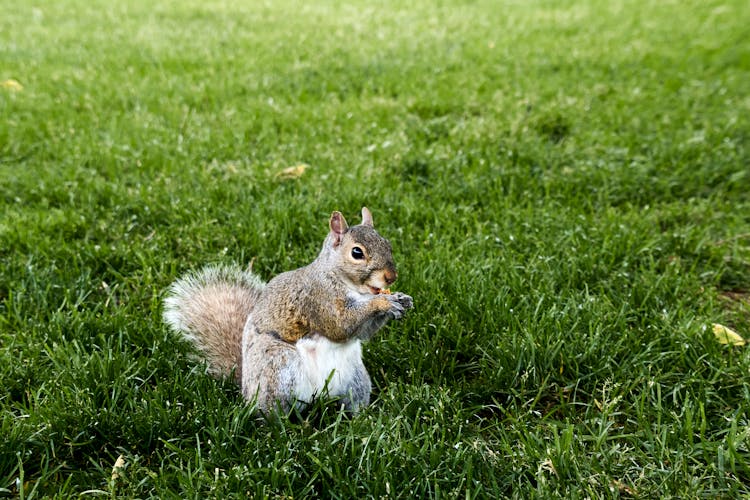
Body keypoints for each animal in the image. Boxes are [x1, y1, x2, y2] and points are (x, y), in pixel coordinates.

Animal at [162, 207, 418, 414]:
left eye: (388, 244)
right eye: (357, 253)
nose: (391, 277)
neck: (350, 286)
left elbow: (362, 332)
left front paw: (401, 299)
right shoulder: (317, 299)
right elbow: (340, 325)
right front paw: (384, 303)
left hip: (355, 380)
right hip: (278, 368)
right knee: (272, 412)